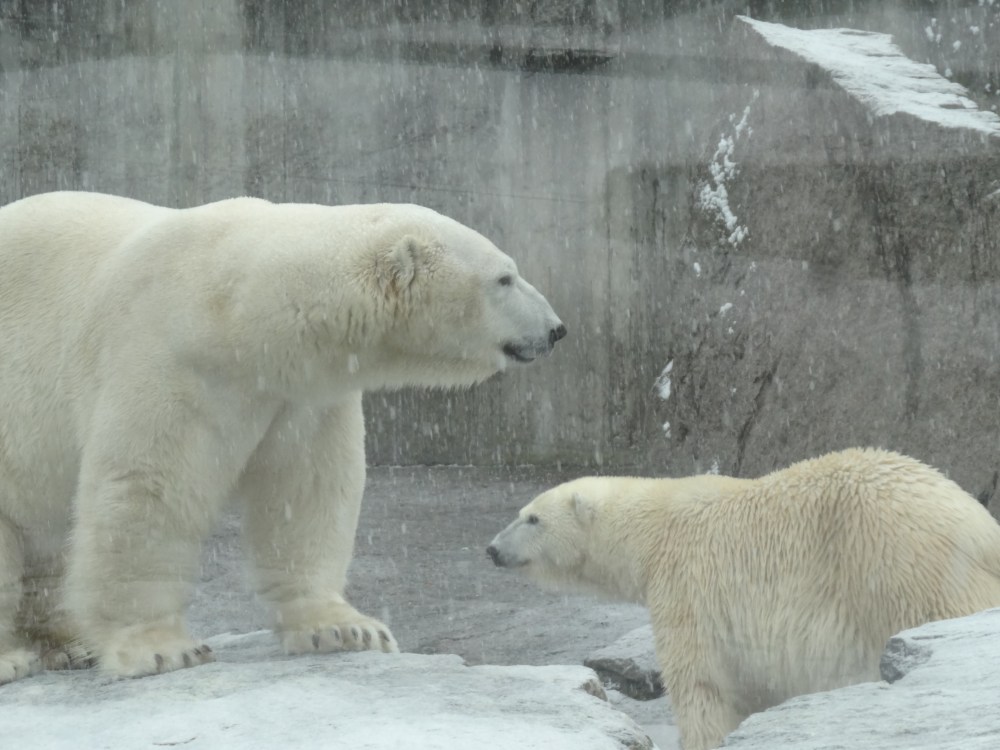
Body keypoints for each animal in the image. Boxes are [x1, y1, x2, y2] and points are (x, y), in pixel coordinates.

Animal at [0, 190, 565, 684]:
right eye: (504, 278)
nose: (557, 329)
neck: (234, 306)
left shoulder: (298, 392)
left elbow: (306, 488)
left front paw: (344, 629)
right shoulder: (167, 358)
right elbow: (149, 487)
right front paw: (161, 648)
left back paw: (71, 643)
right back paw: (14, 658)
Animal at [486, 448, 1000, 750]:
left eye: (532, 518)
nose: (491, 549)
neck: (653, 530)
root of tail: (978, 524)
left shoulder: (687, 587)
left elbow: (703, 688)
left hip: (901, 563)